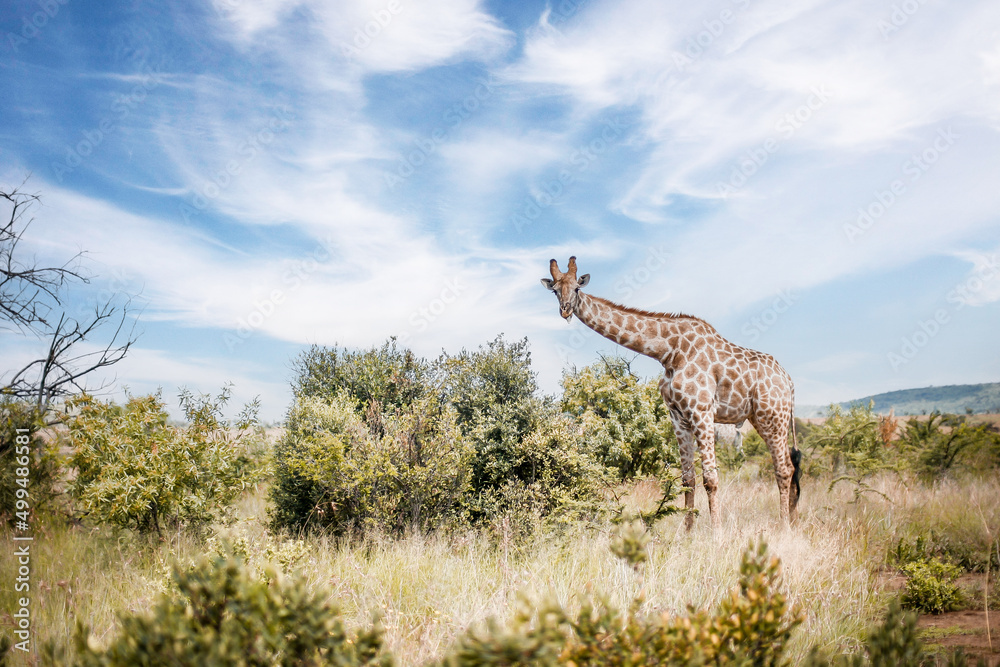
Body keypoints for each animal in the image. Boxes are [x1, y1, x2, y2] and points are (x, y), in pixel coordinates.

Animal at [541, 256, 800, 531]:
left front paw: (717, 533)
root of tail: (788, 381)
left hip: (772, 418)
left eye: (576, 288)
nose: (565, 310)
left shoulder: (702, 412)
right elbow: (688, 478)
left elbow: (711, 478)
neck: (668, 351)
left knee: (784, 468)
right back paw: (792, 519)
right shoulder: (678, 416)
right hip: (762, 419)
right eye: (555, 290)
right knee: (789, 466)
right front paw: (688, 532)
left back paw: (784, 525)